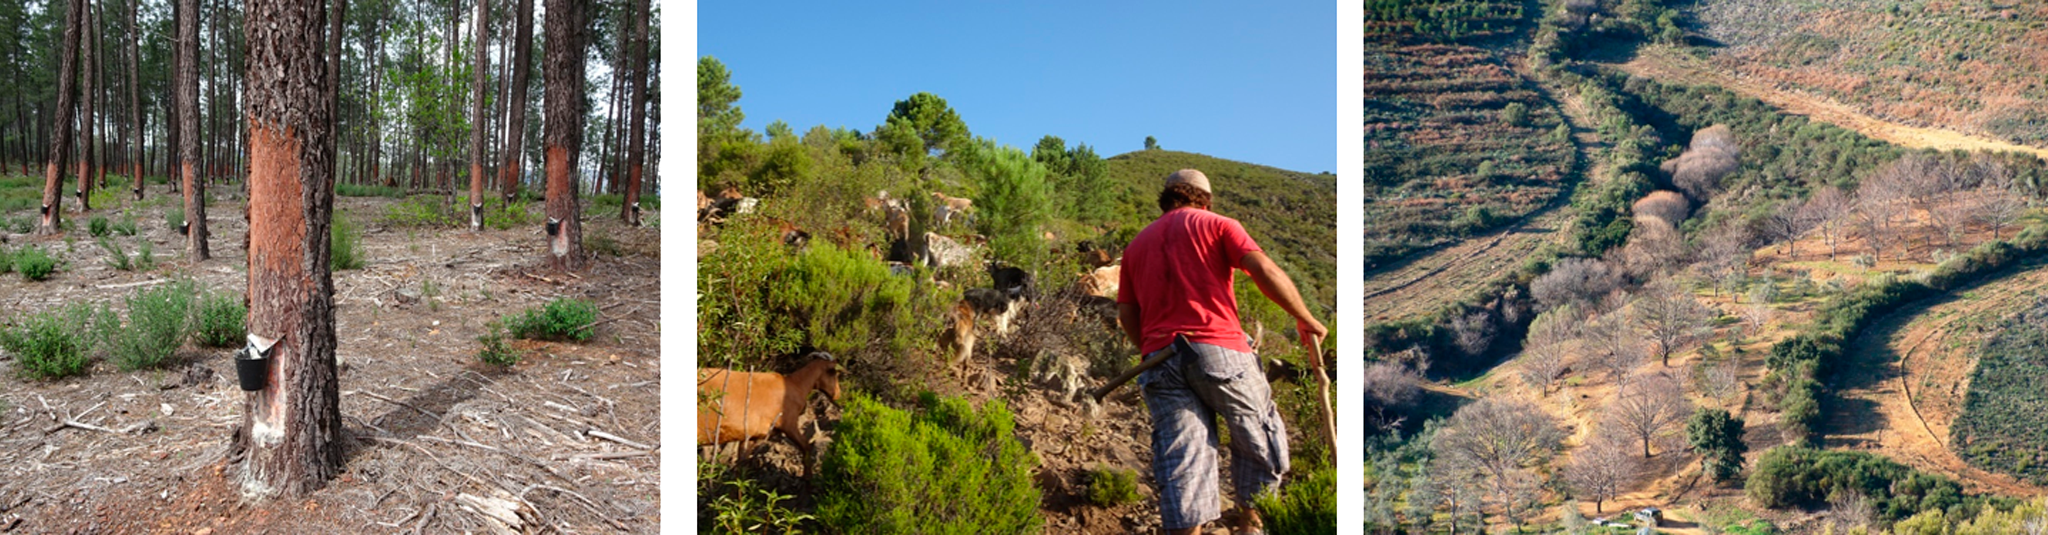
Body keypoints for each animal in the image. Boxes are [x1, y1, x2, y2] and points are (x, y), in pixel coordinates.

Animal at [696, 352, 839, 473]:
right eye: (834, 373)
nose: (838, 395)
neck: (796, 385)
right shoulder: (789, 425)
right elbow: (806, 448)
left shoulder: (750, 437)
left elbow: (741, 467)